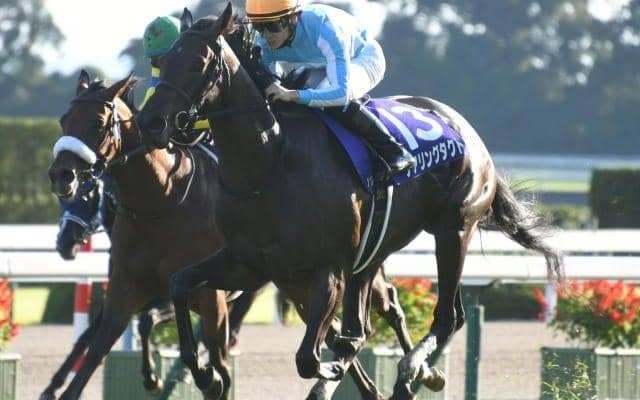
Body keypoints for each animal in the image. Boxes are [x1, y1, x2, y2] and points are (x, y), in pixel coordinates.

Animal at [47, 70, 426, 400]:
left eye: (97, 124)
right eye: (63, 120)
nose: (62, 175)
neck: (161, 201)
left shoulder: (210, 297)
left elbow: (209, 355)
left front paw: (195, 378)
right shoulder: (127, 289)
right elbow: (94, 347)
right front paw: (58, 387)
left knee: (389, 304)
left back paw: (419, 373)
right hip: (299, 285)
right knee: (333, 336)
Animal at [135, 4, 564, 399]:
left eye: (199, 62)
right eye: (164, 61)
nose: (150, 123)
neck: (269, 163)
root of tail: (467, 131)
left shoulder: (327, 270)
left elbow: (310, 358)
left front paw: (334, 369)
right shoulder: (248, 264)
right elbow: (179, 283)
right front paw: (206, 375)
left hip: (453, 229)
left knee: (447, 317)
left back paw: (411, 372)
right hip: (374, 250)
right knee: (378, 320)